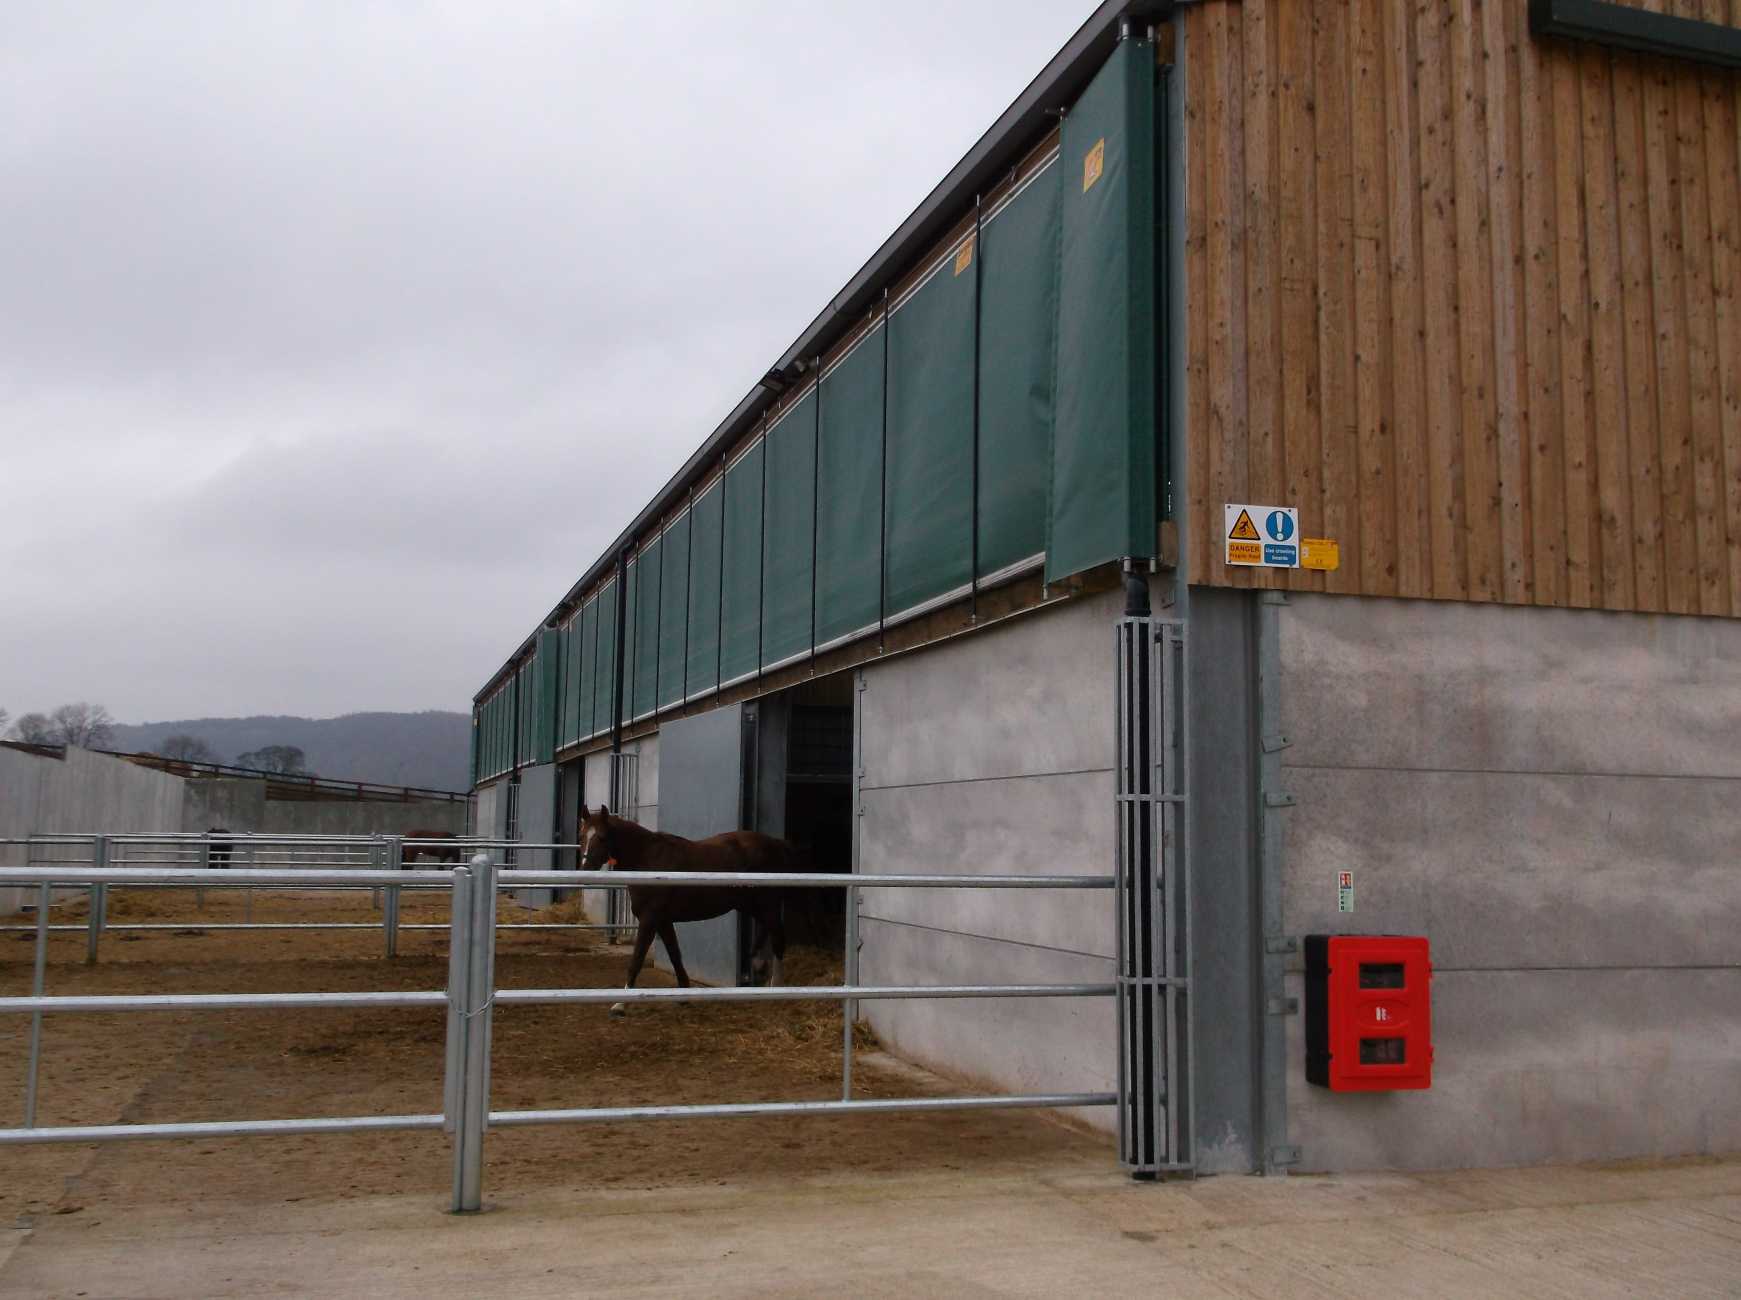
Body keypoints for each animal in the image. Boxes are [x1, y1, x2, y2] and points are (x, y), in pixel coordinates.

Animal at [578, 804, 807, 1009]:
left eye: (602, 837)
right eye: (582, 837)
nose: (586, 869)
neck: (648, 859)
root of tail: (777, 844)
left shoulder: (649, 919)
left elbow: (637, 959)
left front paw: (620, 1004)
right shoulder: (663, 920)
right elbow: (674, 954)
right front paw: (683, 995)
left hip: (767, 905)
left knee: (778, 939)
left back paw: (775, 987)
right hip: (751, 905)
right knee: (765, 932)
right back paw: (759, 969)